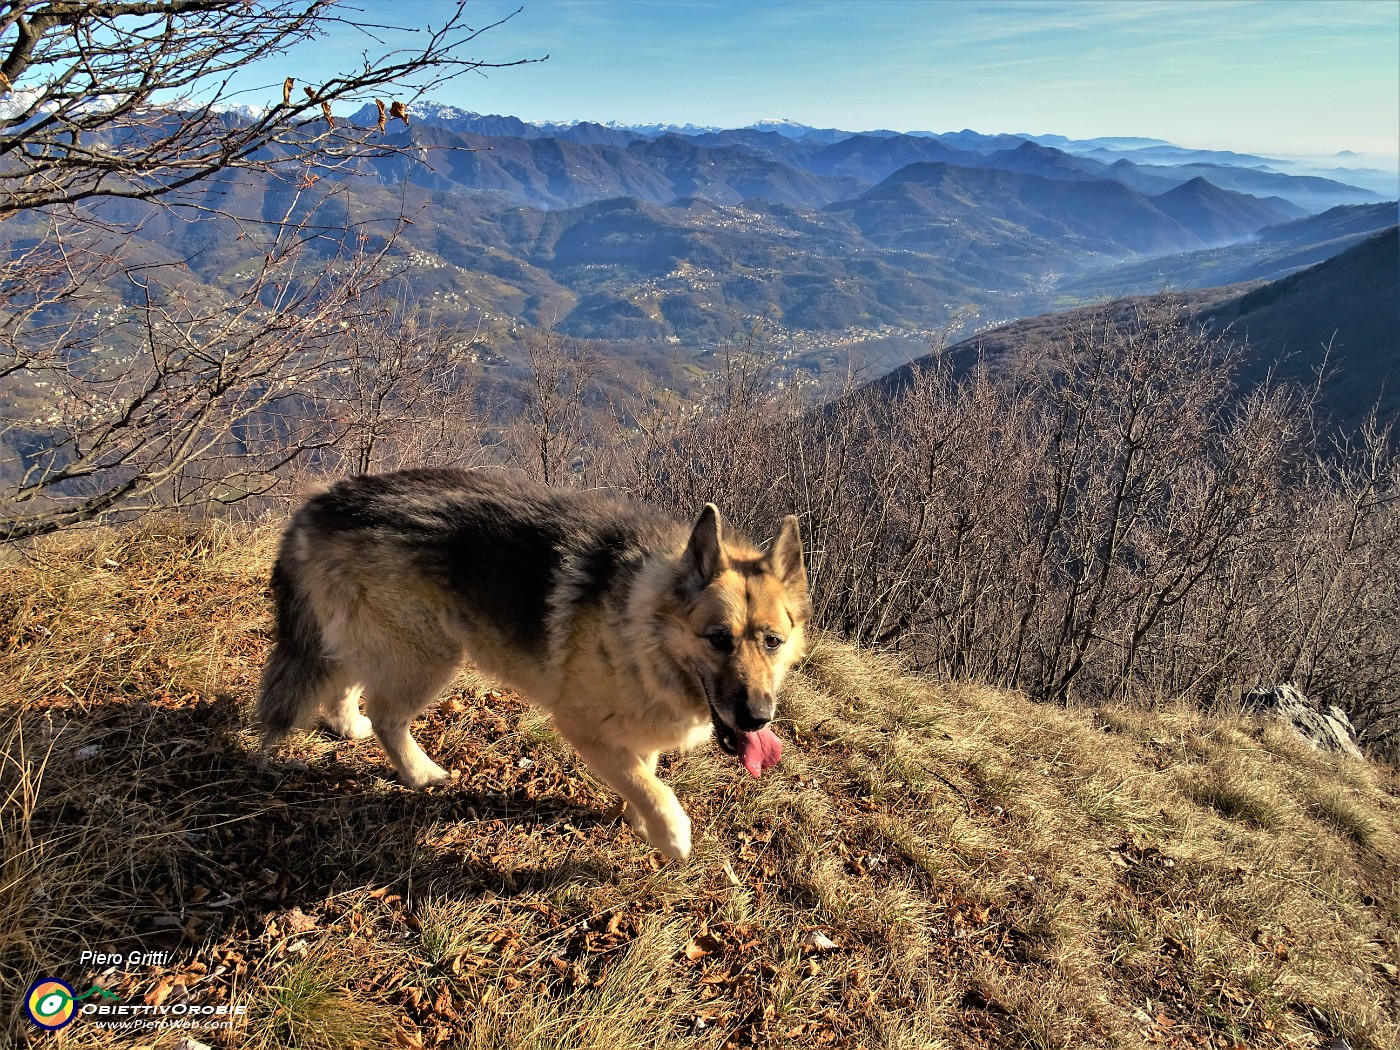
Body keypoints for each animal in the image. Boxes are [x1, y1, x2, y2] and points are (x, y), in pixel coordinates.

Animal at [257, 470, 817, 862]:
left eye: (772, 642)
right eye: (719, 640)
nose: (758, 719)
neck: (641, 621)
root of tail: (322, 501)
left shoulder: (638, 727)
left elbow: (644, 769)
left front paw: (640, 823)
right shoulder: (584, 728)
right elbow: (646, 782)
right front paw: (671, 833)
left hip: (381, 641)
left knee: (346, 681)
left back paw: (346, 724)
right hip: (427, 656)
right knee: (387, 716)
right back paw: (420, 774)